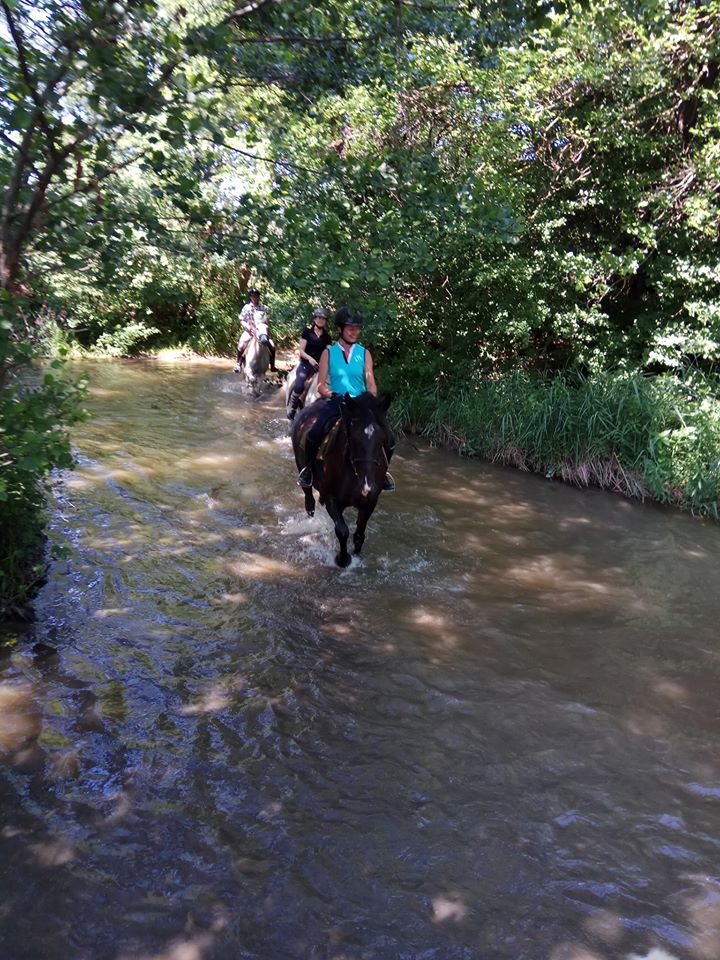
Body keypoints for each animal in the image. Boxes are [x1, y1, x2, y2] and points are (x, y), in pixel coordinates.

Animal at [292, 392, 390, 568]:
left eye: (382, 439)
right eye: (354, 438)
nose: (367, 487)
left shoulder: (371, 501)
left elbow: (359, 534)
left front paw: (357, 557)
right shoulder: (331, 498)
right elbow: (342, 531)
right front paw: (343, 560)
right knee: (309, 503)